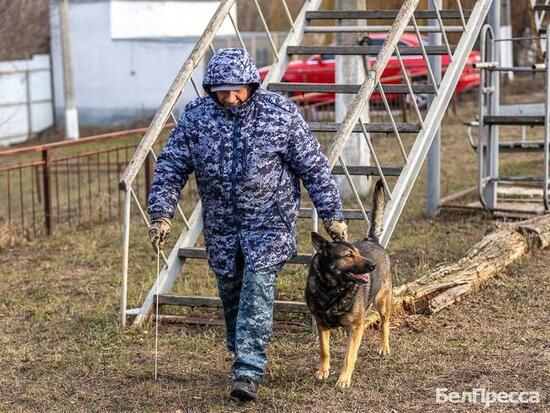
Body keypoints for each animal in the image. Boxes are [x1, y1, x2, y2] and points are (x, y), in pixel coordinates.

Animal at [306, 179, 392, 386]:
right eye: (348, 255)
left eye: (358, 253)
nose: (372, 265)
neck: (332, 289)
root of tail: (372, 240)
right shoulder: (321, 325)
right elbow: (324, 351)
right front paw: (323, 371)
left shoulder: (355, 328)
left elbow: (348, 356)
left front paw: (344, 379)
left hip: (382, 302)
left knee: (385, 323)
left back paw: (384, 347)